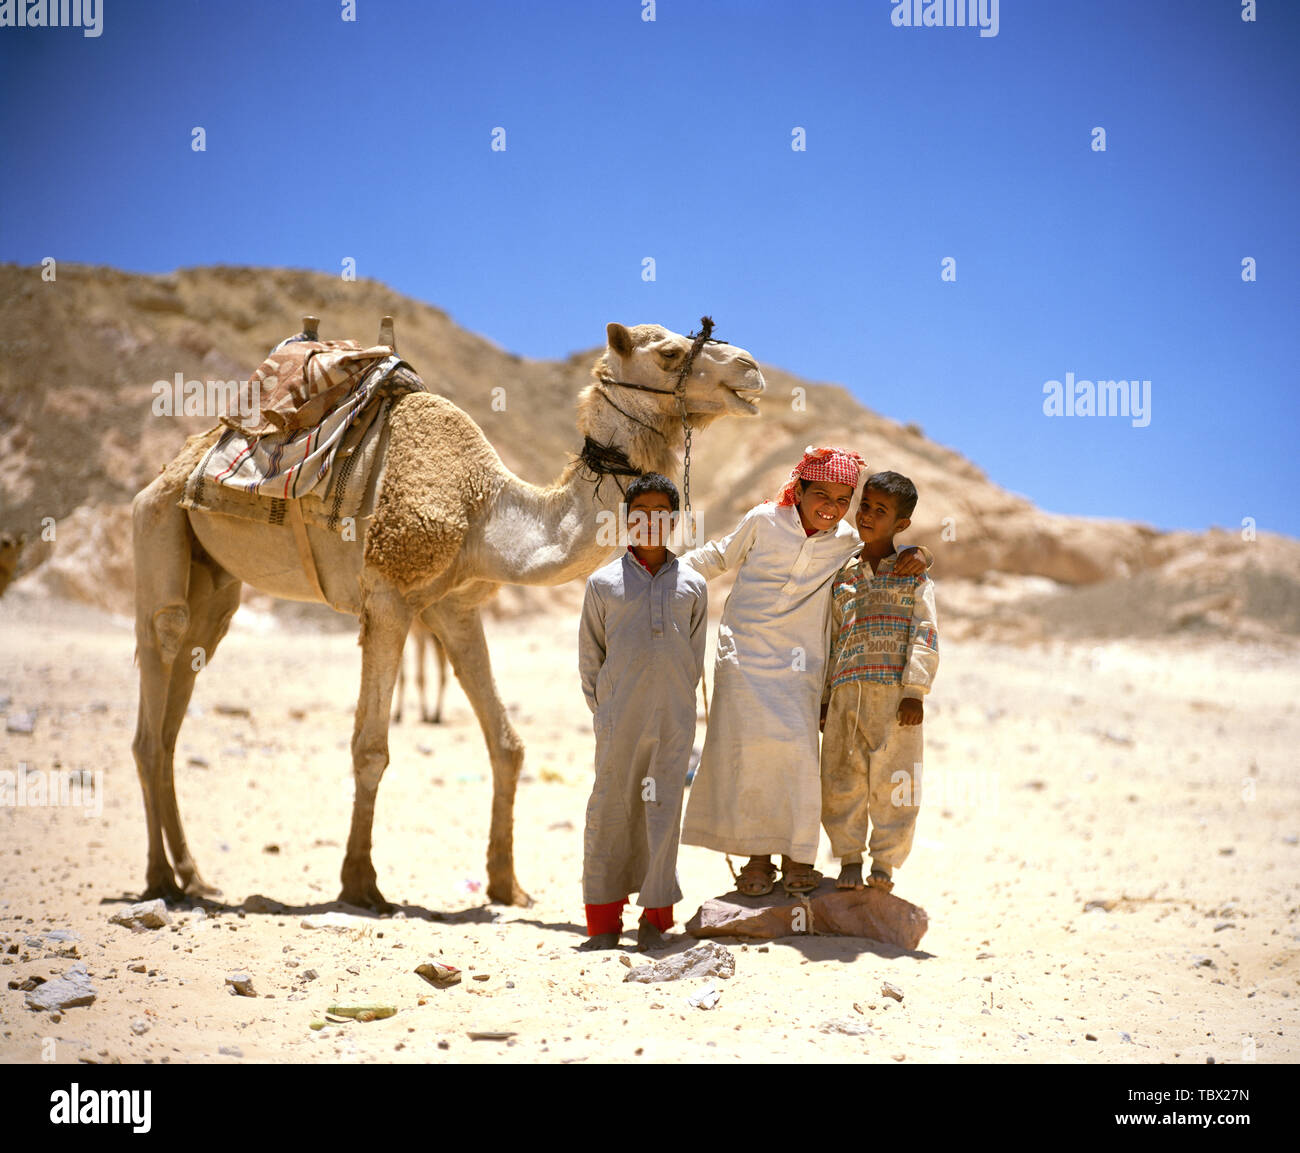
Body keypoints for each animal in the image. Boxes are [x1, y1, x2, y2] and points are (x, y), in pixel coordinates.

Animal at [131, 318, 764, 911]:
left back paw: (193, 876)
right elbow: (370, 748)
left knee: (177, 704)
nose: (751, 368)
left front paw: (507, 885)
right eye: (670, 353)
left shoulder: (453, 607)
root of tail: (174, 464)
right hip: (159, 522)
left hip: (216, 582)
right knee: (157, 683)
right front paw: (361, 883)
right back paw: (160, 877)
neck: (484, 510)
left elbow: (507, 744)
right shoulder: (388, 595)